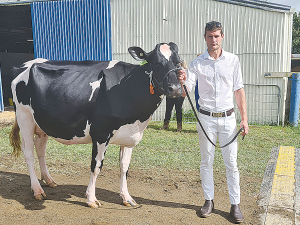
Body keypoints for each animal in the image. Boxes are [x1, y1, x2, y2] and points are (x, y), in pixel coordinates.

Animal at [9, 41, 183, 207]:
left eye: (178, 63)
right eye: (157, 63)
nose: (175, 89)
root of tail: (25, 65)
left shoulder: (130, 134)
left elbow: (124, 167)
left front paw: (127, 197)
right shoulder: (100, 133)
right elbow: (97, 166)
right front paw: (91, 199)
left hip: (42, 123)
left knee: (40, 150)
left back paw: (49, 180)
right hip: (24, 117)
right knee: (29, 153)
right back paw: (37, 189)